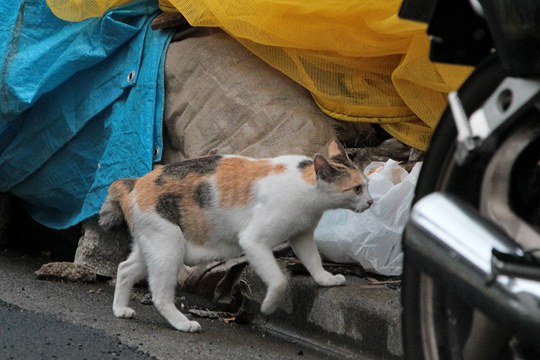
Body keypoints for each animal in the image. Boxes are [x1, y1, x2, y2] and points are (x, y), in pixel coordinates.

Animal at [99, 140, 372, 332]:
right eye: (357, 189)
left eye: (367, 185)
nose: (371, 202)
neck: (307, 187)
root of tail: (135, 182)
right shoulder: (254, 242)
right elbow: (279, 281)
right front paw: (268, 306)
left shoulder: (302, 236)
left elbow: (313, 260)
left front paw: (326, 279)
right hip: (168, 249)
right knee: (159, 294)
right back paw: (182, 323)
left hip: (153, 247)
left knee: (125, 269)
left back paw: (120, 309)